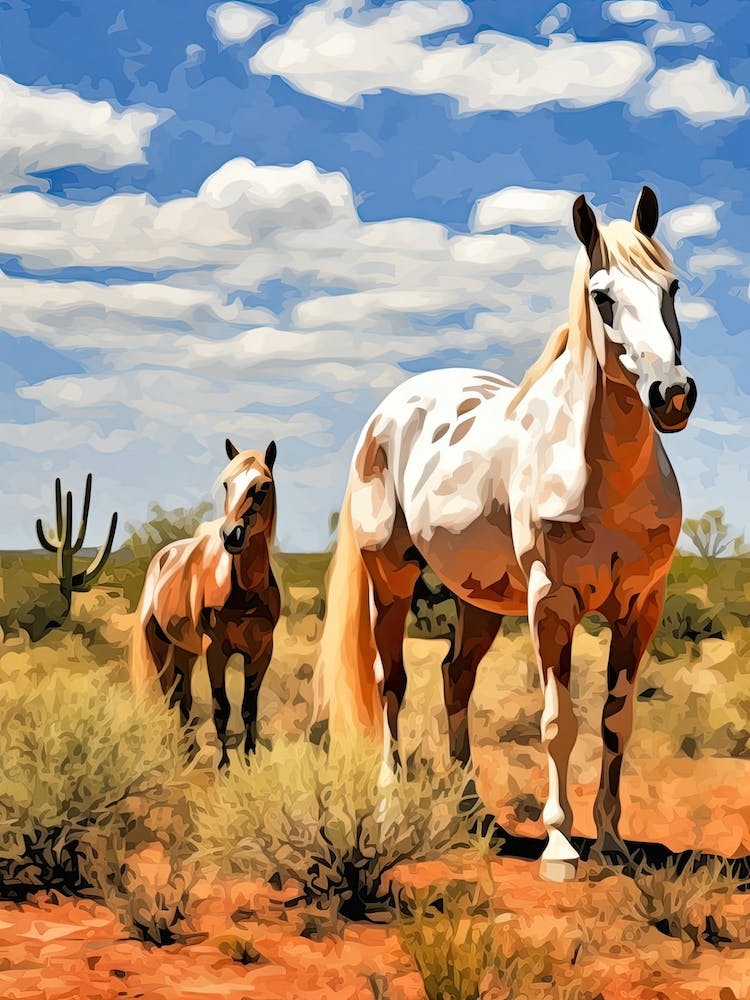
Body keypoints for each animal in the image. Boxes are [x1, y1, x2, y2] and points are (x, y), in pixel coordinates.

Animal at [131, 439, 280, 768]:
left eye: (263, 486)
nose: (232, 535)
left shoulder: (261, 652)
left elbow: (248, 707)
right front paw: (223, 765)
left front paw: (250, 760)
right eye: (226, 485)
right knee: (170, 697)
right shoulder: (215, 652)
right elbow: (221, 707)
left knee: (183, 699)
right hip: (160, 647)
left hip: (185, 651)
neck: (242, 591)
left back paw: (187, 752)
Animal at [317, 186, 697, 881]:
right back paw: (388, 805)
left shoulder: (640, 608)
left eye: (672, 286)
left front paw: (612, 841)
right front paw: (560, 846)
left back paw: (471, 812)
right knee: (392, 683)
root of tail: (391, 411)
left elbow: (616, 721)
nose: (672, 395)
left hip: (480, 601)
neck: (603, 471)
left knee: (454, 678)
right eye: (602, 296)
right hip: (391, 579)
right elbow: (557, 722)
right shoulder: (551, 604)